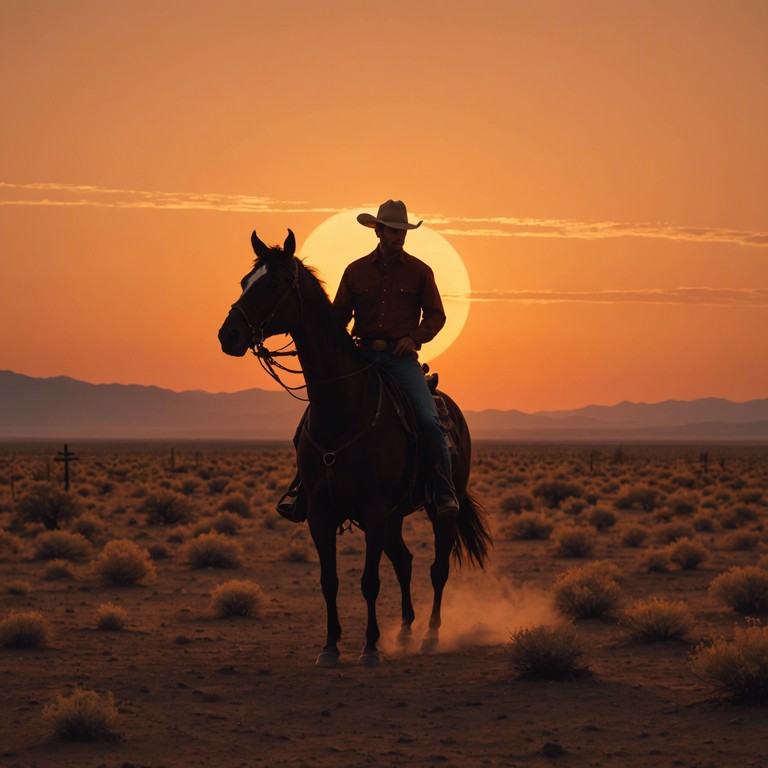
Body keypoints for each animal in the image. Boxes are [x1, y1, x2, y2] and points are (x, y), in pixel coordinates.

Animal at [216, 228, 492, 664]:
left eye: (273, 284)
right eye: (245, 282)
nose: (229, 334)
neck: (342, 410)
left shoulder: (374, 511)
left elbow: (369, 581)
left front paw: (369, 646)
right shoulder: (322, 514)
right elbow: (329, 580)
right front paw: (330, 646)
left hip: (438, 507)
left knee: (437, 568)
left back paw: (430, 635)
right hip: (394, 515)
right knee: (405, 562)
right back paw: (405, 633)